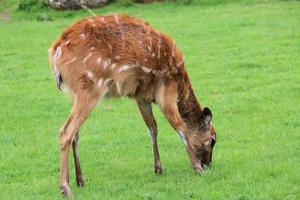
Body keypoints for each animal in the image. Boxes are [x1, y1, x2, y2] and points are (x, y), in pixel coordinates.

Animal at [49, 13, 218, 197]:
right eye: (212, 139)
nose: (208, 164)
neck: (180, 81)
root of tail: (55, 52)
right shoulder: (166, 88)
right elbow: (180, 127)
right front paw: (197, 169)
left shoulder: (141, 95)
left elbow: (152, 128)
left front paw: (158, 168)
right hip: (89, 87)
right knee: (65, 131)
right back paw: (65, 188)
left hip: (74, 93)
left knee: (75, 134)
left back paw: (80, 180)